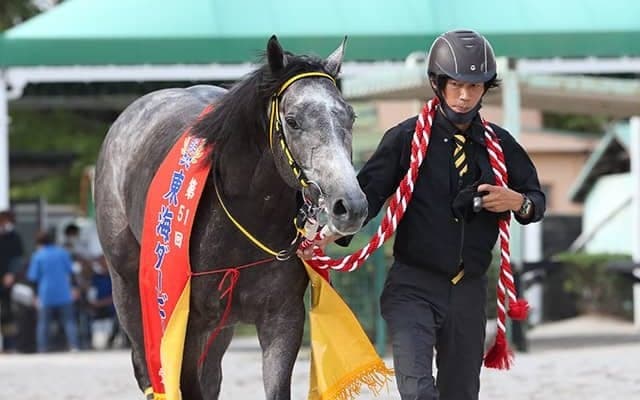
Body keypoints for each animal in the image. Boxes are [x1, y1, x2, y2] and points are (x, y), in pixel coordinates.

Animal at [94, 35, 368, 399]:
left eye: (349, 116)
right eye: (293, 120)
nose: (350, 205)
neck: (246, 219)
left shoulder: (282, 318)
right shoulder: (189, 324)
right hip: (128, 289)